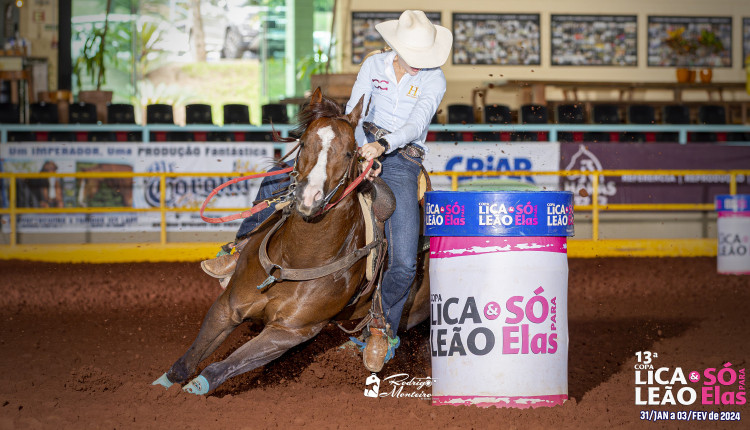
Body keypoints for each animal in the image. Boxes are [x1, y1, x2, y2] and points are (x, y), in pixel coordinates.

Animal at [154, 89, 428, 394]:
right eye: (305, 142)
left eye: (349, 152)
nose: (309, 198)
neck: (295, 258)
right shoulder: (228, 305)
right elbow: (188, 361)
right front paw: (160, 388)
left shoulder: (290, 332)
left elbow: (220, 368)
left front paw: (193, 390)